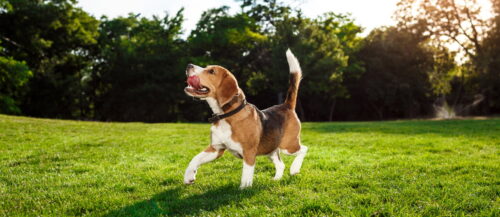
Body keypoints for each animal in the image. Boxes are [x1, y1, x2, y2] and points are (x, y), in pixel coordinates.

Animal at [185, 49, 306, 188]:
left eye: (211, 71)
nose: (189, 65)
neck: (226, 115)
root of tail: (286, 105)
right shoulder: (216, 148)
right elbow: (195, 159)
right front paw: (189, 176)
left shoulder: (248, 152)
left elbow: (246, 174)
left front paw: (244, 189)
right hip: (271, 149)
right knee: (281, 164)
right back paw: (276, 179)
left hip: (288, 145)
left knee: (304, 149)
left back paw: (295, 168)